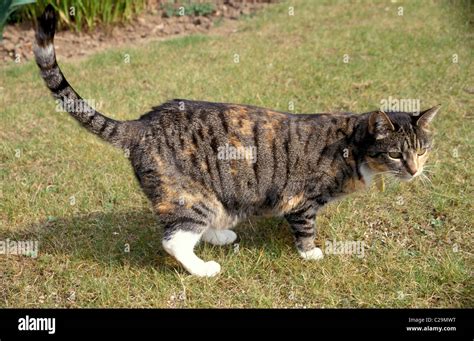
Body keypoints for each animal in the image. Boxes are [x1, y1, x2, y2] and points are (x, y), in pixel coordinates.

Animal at [34, 5, 440, 276]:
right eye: (395, 154)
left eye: (421, 150)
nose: (416, 171)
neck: (352, 146)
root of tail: (143, 122)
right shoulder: (303, 198)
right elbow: (306, 227)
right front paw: (311, 253)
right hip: (188, 195)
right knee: (174, 239)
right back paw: (204, 268)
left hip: (213, 194)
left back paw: (221, 236)